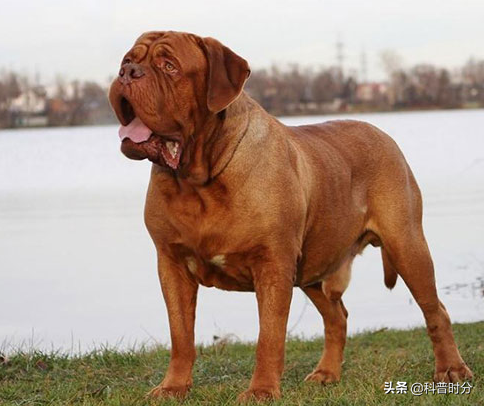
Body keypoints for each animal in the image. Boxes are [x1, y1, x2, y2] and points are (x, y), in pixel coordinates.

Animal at [108, 30, 472, 400]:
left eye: (169, 66)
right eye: (127, 60)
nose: (127, 73)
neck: (199, 180)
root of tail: (383, 133)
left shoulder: (273, 265)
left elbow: (269, 337)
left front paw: (261, 392)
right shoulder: (172, 265)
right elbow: (181, 335)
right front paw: (173, 387)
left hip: (406, 245)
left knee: (435, 310)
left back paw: (452, 370)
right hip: (312, 267)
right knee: (337, 316)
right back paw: (326, 373)